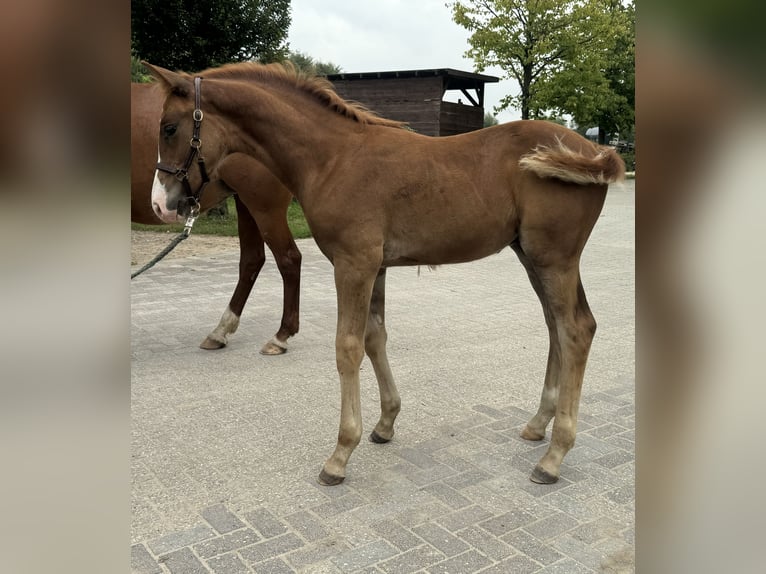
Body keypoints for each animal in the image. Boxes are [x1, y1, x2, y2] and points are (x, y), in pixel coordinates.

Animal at [130, 82, 302, 356]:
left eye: (170, 129)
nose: (158, 204)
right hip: (245, 203)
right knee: (252, 260)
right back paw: (220, 331)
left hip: (264, 207)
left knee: (288, 259)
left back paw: (281, 336)